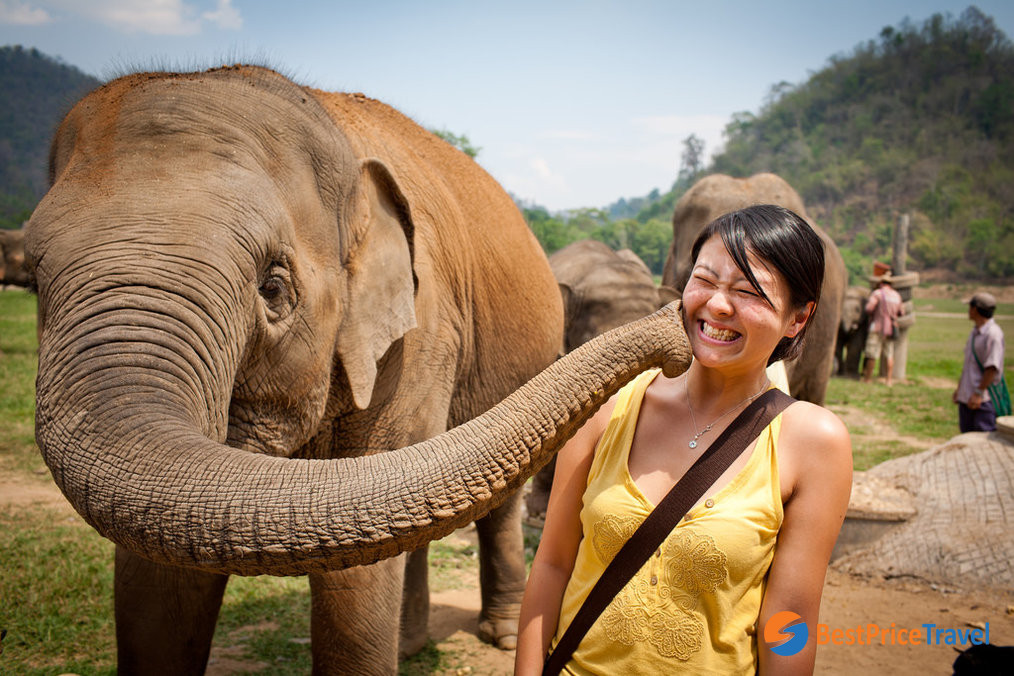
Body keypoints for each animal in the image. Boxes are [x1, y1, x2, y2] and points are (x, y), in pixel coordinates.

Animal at [18, 64, 625, 675]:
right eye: (34, 279)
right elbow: (155, 562)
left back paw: (497, 635)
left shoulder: (421, 336)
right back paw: (409, 646)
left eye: (273, 287)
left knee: (496, 506)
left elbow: (363, 546)